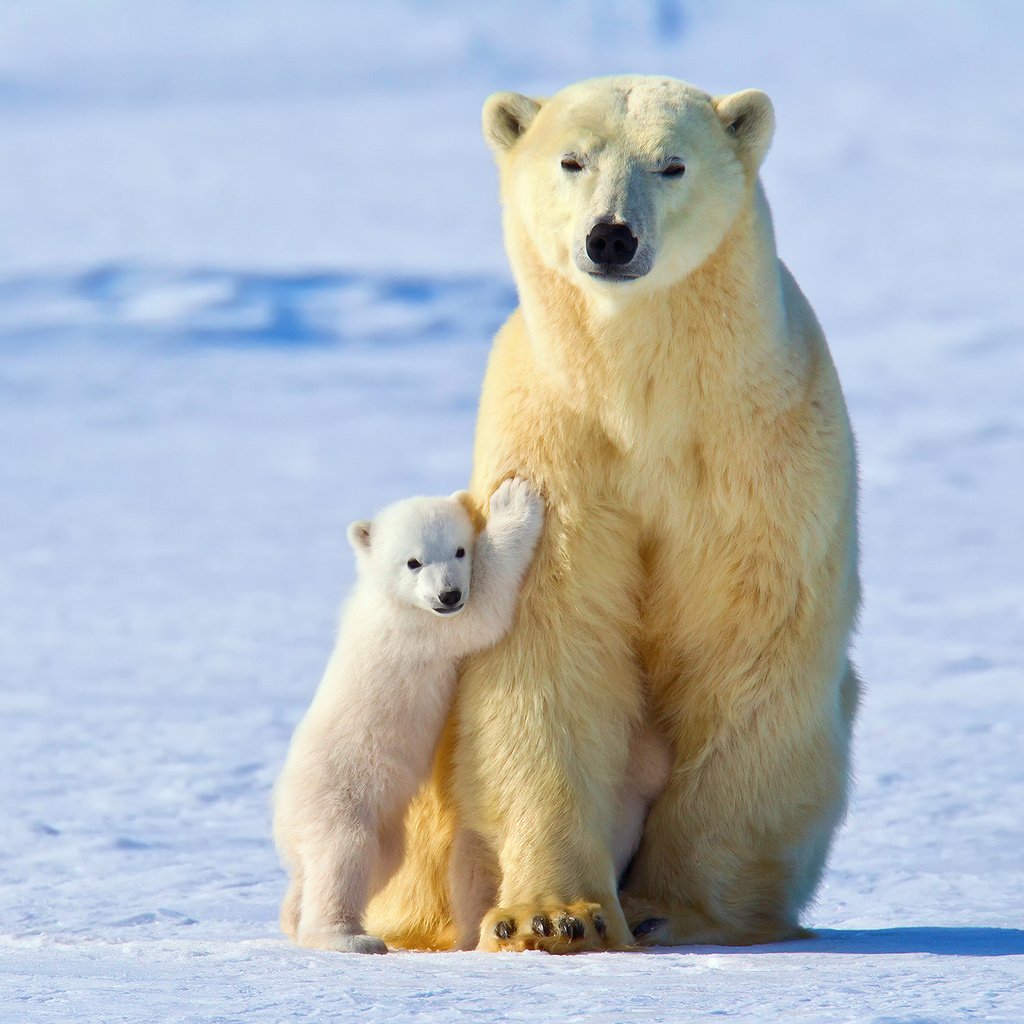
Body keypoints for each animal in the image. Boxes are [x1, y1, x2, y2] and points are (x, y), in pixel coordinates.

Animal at [270, 477, 544, 950]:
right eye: (414, 562)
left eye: (458, 550)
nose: (448, 594)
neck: (388, 598)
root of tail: (282, 813)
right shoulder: (420, 629)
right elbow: (482, 611)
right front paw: (513, 502)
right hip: (339, 794)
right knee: (343, 855)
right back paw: (349, 937)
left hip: (381, 827)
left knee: (368, 864)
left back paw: (293, 916)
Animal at [364, 75, 860, 954]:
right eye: (573, 159)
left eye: (671, 163)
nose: (611, 238)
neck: (644, 396)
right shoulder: (557, 446)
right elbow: (550, 647)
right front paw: (557, 915)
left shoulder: (759, 454)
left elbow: (748, 645)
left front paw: (675, 908)